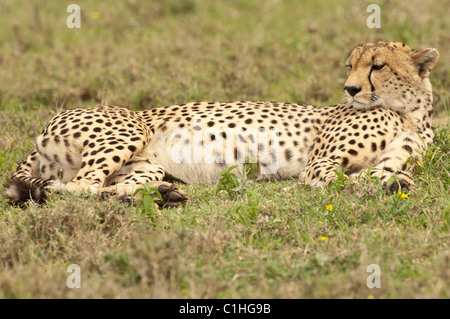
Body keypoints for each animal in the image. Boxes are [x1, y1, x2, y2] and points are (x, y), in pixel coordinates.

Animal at [2, 40, 440, 208]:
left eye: (378, 66)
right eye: (351, 66)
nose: (349, 89)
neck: (409, 113)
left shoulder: (397, 157)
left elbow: (384, 173)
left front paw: (393, 183)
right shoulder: (319, 165)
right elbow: (334, 180)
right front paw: (384, 185)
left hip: (144, 165)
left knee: (105, 189)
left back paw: (162, 195)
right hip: (129, 131)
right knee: (76, 188)